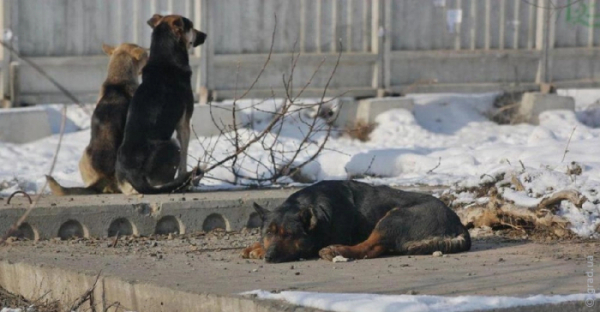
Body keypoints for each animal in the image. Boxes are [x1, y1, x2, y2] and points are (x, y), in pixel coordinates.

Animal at [116, 15, 207, 195]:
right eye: (191, 27)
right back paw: (183, 183)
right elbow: (184, 160)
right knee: (161, 183)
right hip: (172, 144)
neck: (164, 59)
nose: (205, 35)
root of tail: (132, 172)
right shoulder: (184, 125)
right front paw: (184, 177)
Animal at [241, 180, 472, 264]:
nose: (270, 257)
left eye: (289, 235)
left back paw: (336, 251)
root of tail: (458, 223)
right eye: (268, 233)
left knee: (368, 247)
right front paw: (256, 247)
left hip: (393, 218)